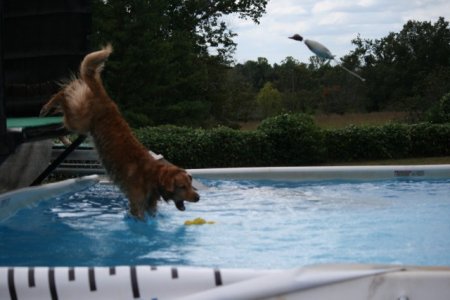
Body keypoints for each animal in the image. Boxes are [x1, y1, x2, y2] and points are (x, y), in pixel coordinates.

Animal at [40, 45, 199, 218]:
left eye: (191, 184)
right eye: (182, 186)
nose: (198, 197)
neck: (152, 175)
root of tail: (106, 99)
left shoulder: (150, 205)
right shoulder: (136, 203)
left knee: (74, 88)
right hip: (78, 121)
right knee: (66, 95)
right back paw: (49, 105)